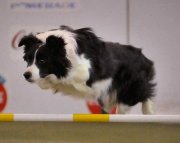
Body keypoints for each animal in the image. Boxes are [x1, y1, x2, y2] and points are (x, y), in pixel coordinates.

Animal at [19, 25, 155, 114]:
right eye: (28, 59)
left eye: (42, 61)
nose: (26, 75)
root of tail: (145, 59)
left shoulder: (85, 71)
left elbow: (72, 77)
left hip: (129, 90)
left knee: (139, 96)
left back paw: (148, 110)